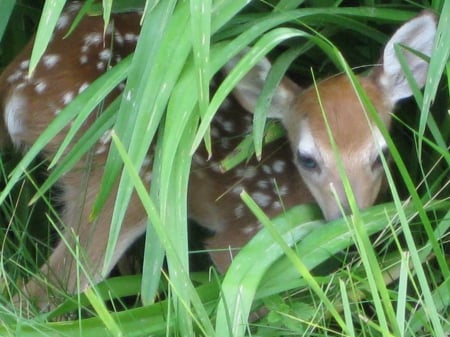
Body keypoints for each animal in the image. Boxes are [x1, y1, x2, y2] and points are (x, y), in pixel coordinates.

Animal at [0, 1, 436, 312]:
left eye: (380, 154)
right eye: (308, 158)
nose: (349, 218)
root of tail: (15, 83)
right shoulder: (242, 234)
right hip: (119, 177)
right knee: (42, 292)